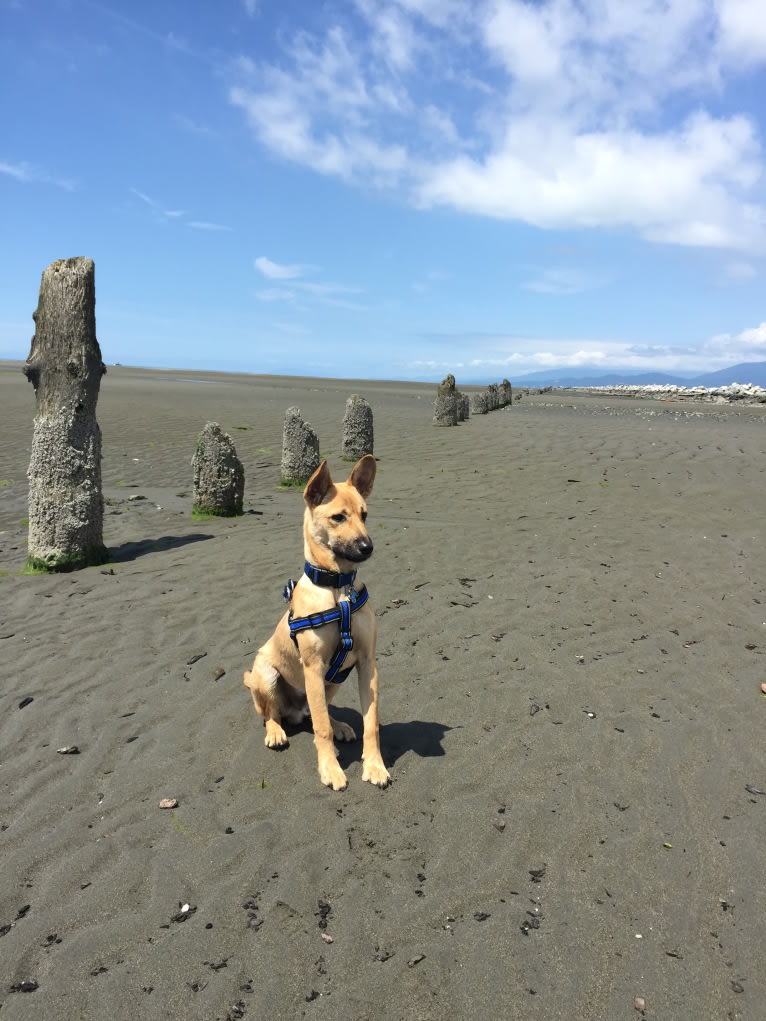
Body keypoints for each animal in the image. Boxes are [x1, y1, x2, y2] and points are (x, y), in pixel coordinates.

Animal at [244, 455, 392, 788]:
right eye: (338, 517)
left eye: (364, 514)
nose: (368, 547)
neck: (338, 590)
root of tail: (294, 711)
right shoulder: (312, 667)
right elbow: (321, 729)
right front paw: (330, 769)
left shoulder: (367, 663)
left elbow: (371, 722)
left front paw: (375, 766)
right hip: (267, 675)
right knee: (275, 714)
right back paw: (277, 731)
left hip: (336, 678)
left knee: (316, 712)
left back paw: (339, 726)